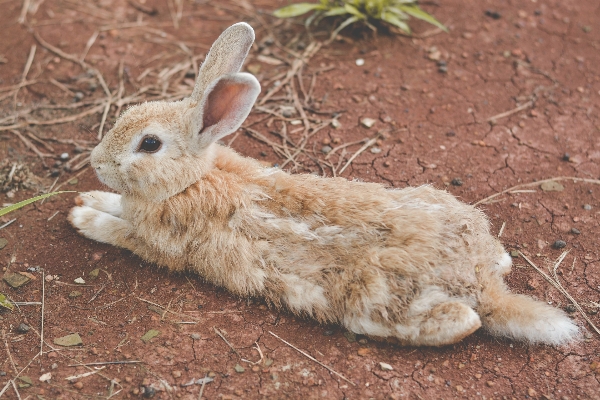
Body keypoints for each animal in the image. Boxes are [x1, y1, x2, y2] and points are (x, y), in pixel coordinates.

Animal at [68, 22, 580, 346]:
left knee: (462, 323)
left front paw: (82, 215)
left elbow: (118, 231)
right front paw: (90, 197)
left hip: (378, 306)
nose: (97, 162)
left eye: (149, 144)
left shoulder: (158, 244)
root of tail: (482, 285)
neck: (191, 179)